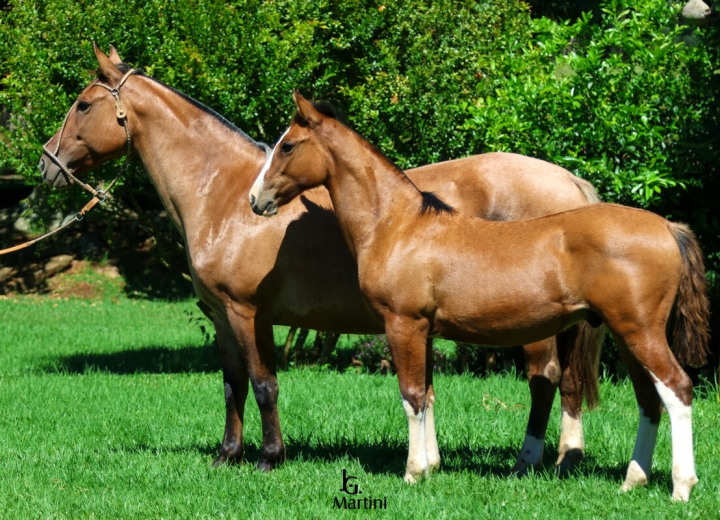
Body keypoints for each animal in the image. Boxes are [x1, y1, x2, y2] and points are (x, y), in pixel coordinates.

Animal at [39, 45, 600, 480]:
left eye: (83, 104)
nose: (47, 163)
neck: (222, 192)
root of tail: (570, 183)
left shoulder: (246, 312)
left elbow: (263, 384)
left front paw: (269, 458)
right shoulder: (223, 316)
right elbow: (232, 384)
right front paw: (228, 455)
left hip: (534, 327)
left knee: (545, 380)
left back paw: (530, 462)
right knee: (567, 384)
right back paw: (563, 459)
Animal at [250, 92, 712, 500]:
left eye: (287, 145)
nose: (256, 200)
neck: (398, 225)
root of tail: (667, 226)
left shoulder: (403, 325)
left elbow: (411, 396)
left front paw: (413, 472)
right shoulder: (425, 331)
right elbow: (427, 394)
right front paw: (431, 466)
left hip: (640, 332)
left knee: (677, 389)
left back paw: (681, 487)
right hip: (627, 334)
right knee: (649, 400)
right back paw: (633, 481)